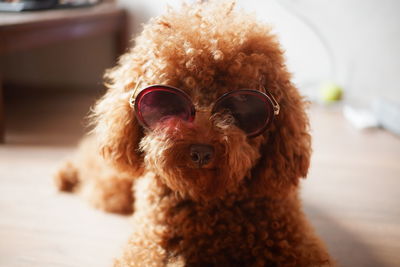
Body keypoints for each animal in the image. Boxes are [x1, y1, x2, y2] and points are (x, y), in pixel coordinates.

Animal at [54, 1, 332, 266]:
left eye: (243, 104)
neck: (208, 201)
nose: (200, 152)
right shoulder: (149, 242)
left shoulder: (295, 241)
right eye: (165, 101)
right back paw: (65, 174)